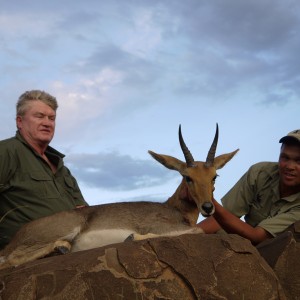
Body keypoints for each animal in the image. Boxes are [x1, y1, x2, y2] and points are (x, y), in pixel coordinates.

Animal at [0, 124, 239, 270]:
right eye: (187, 177)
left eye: (214, 176)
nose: (208, 207)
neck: (175, 209)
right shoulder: (162, 227)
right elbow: (198, 230)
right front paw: (132, 237)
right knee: (10, 260)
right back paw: (62, 247)